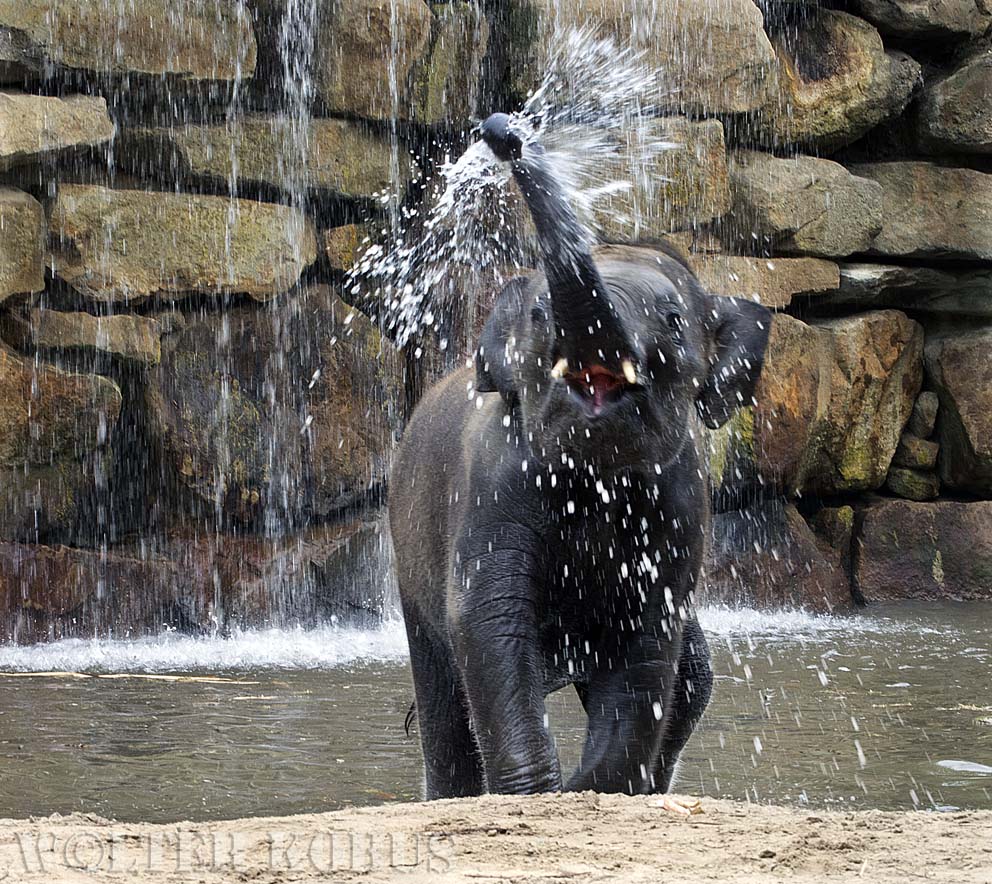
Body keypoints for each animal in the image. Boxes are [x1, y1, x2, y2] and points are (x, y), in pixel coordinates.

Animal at [390, 112, 776, 800]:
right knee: (442, 692)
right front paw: (539, 793)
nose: (501, 130)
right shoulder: (491, 482)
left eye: (673, 319)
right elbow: (489, 620)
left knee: (691, 675)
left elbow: (649, 636)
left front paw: (591, 789)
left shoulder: (681, 500)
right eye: (542, 313)